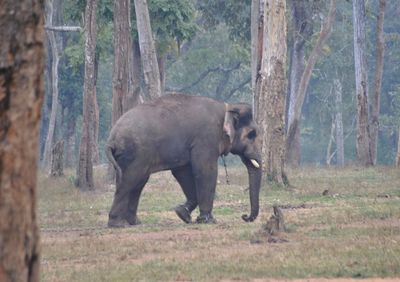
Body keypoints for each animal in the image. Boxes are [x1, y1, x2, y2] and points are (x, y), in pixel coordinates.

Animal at [106, 92, 262, 227]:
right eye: (252, 134)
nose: (245, 216)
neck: (227, 107)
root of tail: (112, 139)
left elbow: (182, 173)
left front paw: (182, 213)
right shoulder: (206, 138)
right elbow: (205, 170)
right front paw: (208, 220)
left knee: (138, 182)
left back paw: (134, 222)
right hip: (135, 153)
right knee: (129, 180)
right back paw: (118, 224)